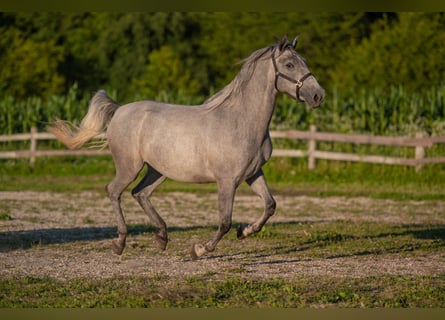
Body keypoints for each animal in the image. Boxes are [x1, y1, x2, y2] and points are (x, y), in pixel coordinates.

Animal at [47, 35, 322, 260]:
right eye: (289, 65)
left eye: (304, 61)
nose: (318, 96)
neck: (241, 120)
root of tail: (120, 110)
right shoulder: (227, 181)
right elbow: (224, 222)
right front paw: (199, 249)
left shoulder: (253, 174)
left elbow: (270, 205)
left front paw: (245, 232)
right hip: (129, 167)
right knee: (114, 191)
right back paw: (120, 243)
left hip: (158, 170)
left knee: (140, 193)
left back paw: (161, 238)